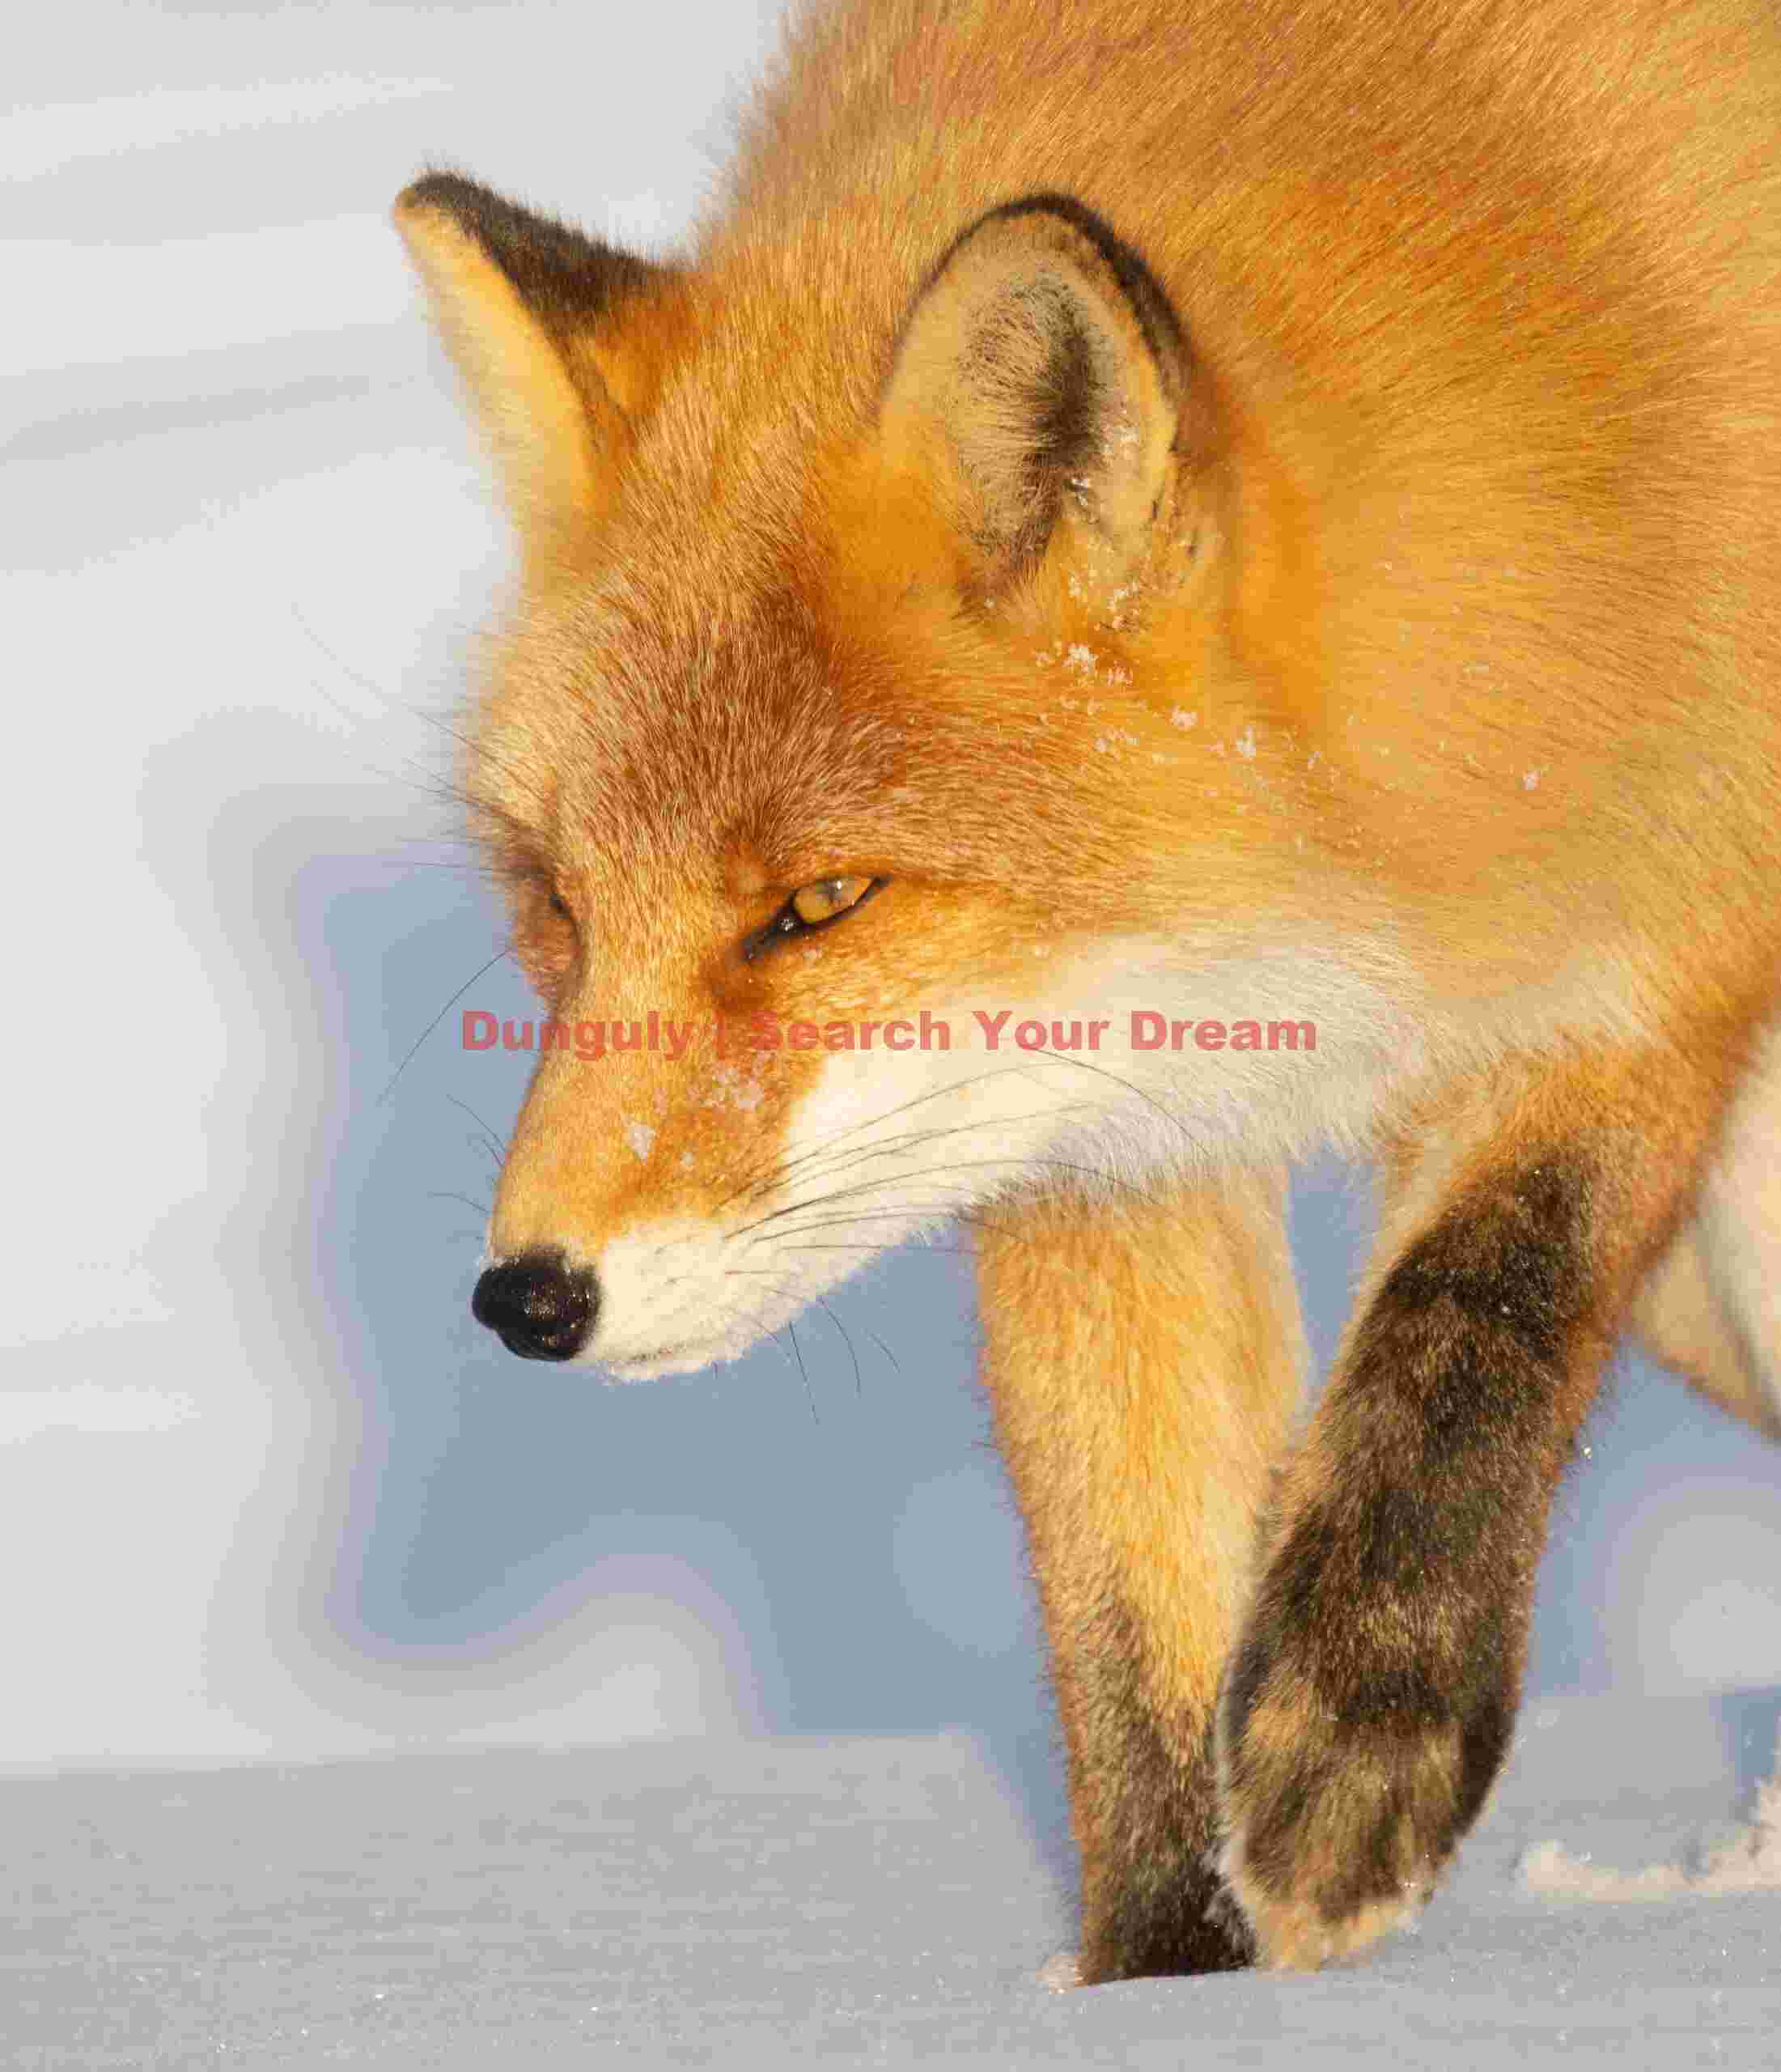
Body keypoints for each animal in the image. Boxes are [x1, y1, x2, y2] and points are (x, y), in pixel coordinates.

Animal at [392, 0, 1781, 1982]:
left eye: (818, 902)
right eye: (560, 910)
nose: (526, 1299)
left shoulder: (1658, 922)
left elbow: (1478, 1303)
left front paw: (1357, 1740)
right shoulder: (1100, 1132)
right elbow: (1128, 1618)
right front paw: (1165, 1985)